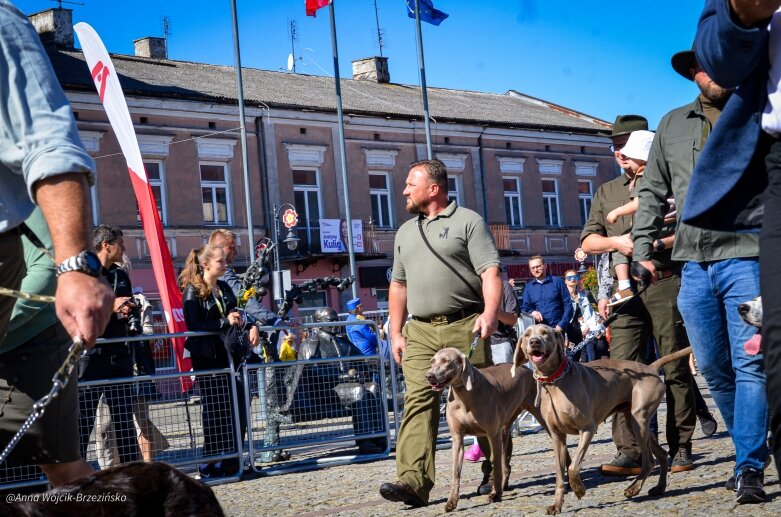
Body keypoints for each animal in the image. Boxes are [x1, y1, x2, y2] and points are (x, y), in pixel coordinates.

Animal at [426, 346, 544, 512]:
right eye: (432, 361)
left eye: (445, 361)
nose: (429, 376)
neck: (464, 396)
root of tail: (526, 369)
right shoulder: (457, 438)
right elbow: (456, 473)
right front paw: (452, 501)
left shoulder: (492, 434)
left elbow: (496, 467)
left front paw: (495, 494)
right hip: (505, 428)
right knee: (505, 464)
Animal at [512, 322, 688, 512]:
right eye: (527, 335)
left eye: (545, 333)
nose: (534, 342)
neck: (555, 382)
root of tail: (651, 367)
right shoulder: (557, 436)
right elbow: (560, 475)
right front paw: (557, 505)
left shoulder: (588, 429)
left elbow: (573, 466)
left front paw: (579, 489)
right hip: (633, 421)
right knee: (661, 454)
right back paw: (659, 487)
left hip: (639, 418)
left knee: (649, 461)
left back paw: (633, 488)